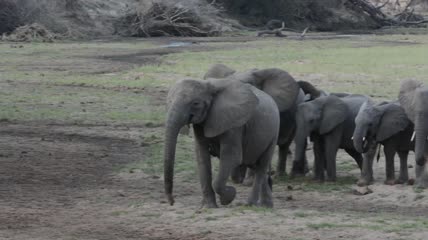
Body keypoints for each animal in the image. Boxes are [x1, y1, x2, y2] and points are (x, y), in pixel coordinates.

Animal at [162, 78, 280, 207]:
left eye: (196, 103)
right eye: (169, 101)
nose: (172, 202)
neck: (208, 86)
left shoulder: (235, 125)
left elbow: (232, 157)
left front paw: (228, 198)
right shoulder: (201, 124)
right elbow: (202, 157)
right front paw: (208, 206)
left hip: (273, 134)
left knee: (261, 167)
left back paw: (250, 204)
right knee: (255, 166)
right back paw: (266, 206)